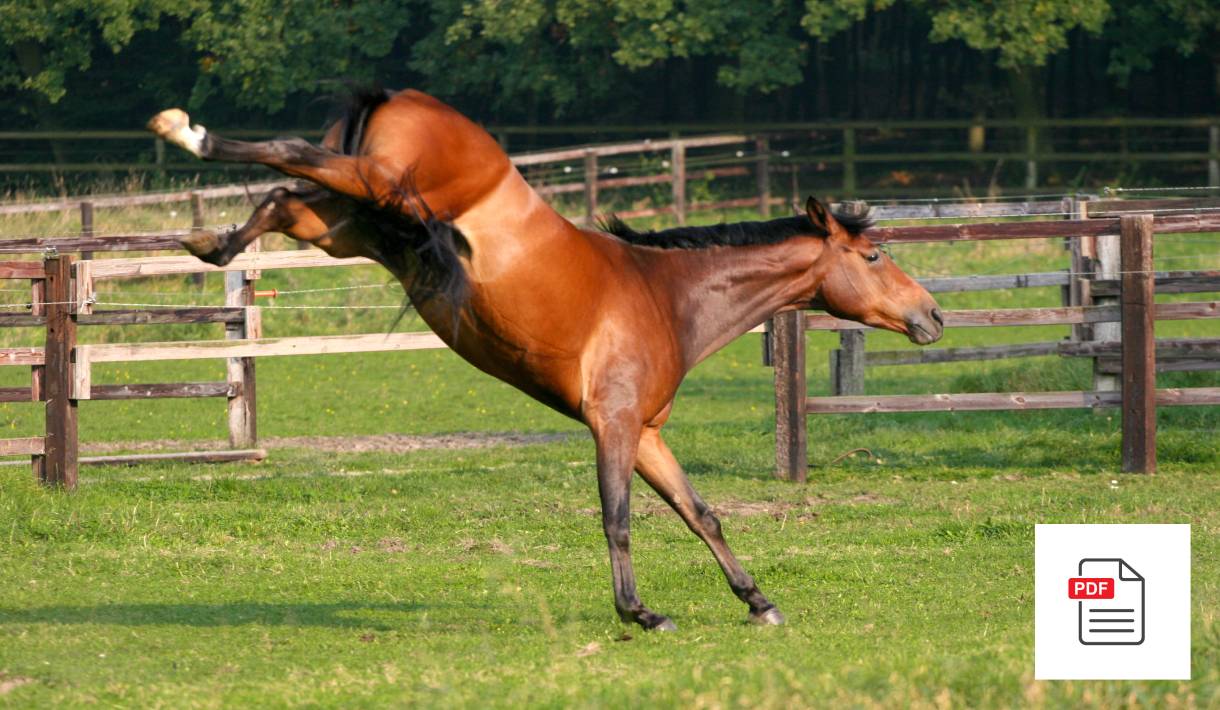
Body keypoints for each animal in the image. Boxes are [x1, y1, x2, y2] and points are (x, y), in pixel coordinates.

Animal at [148, 88, 943, 631]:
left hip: (355, 222)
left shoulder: (647, 435)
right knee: (288, 153)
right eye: (874, 256)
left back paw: (210, 241)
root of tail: (401, 97)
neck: (667, 297)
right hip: (374, 181)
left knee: (284, 197)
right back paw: (188, 133)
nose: (932, 316)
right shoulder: (612, 425)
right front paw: (640, 612)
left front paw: (758, 601)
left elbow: (701, 514)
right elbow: (618, 518)